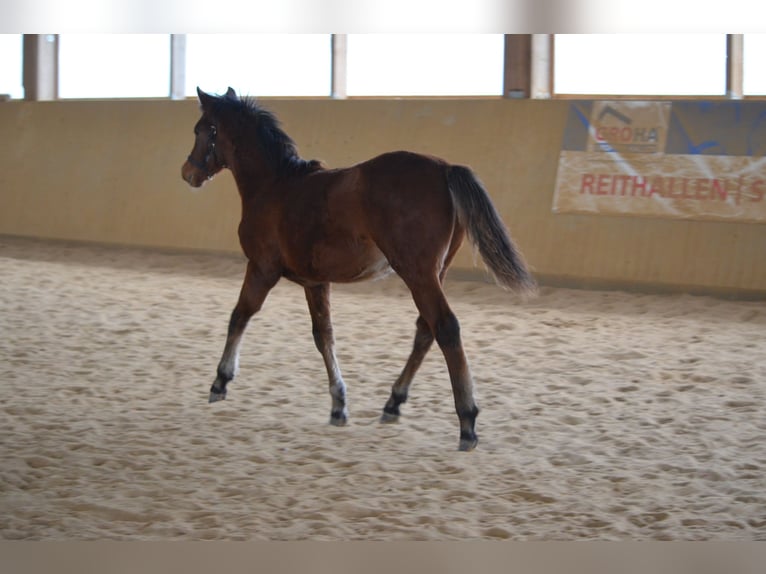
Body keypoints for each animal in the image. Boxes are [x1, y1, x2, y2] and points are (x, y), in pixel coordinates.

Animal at [181, 87, 535, 451]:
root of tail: (444, 168)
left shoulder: (261, 268)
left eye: (201, 130)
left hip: (418, 274)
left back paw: (467, 421)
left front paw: (220, 382)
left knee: (446, 328)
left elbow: (239, 316)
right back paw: (394, 402)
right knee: (426, 330)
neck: (275, 185)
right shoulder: (315, 282)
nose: (188, 172)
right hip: (435, 273)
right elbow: (324, 335)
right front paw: (338, 404)